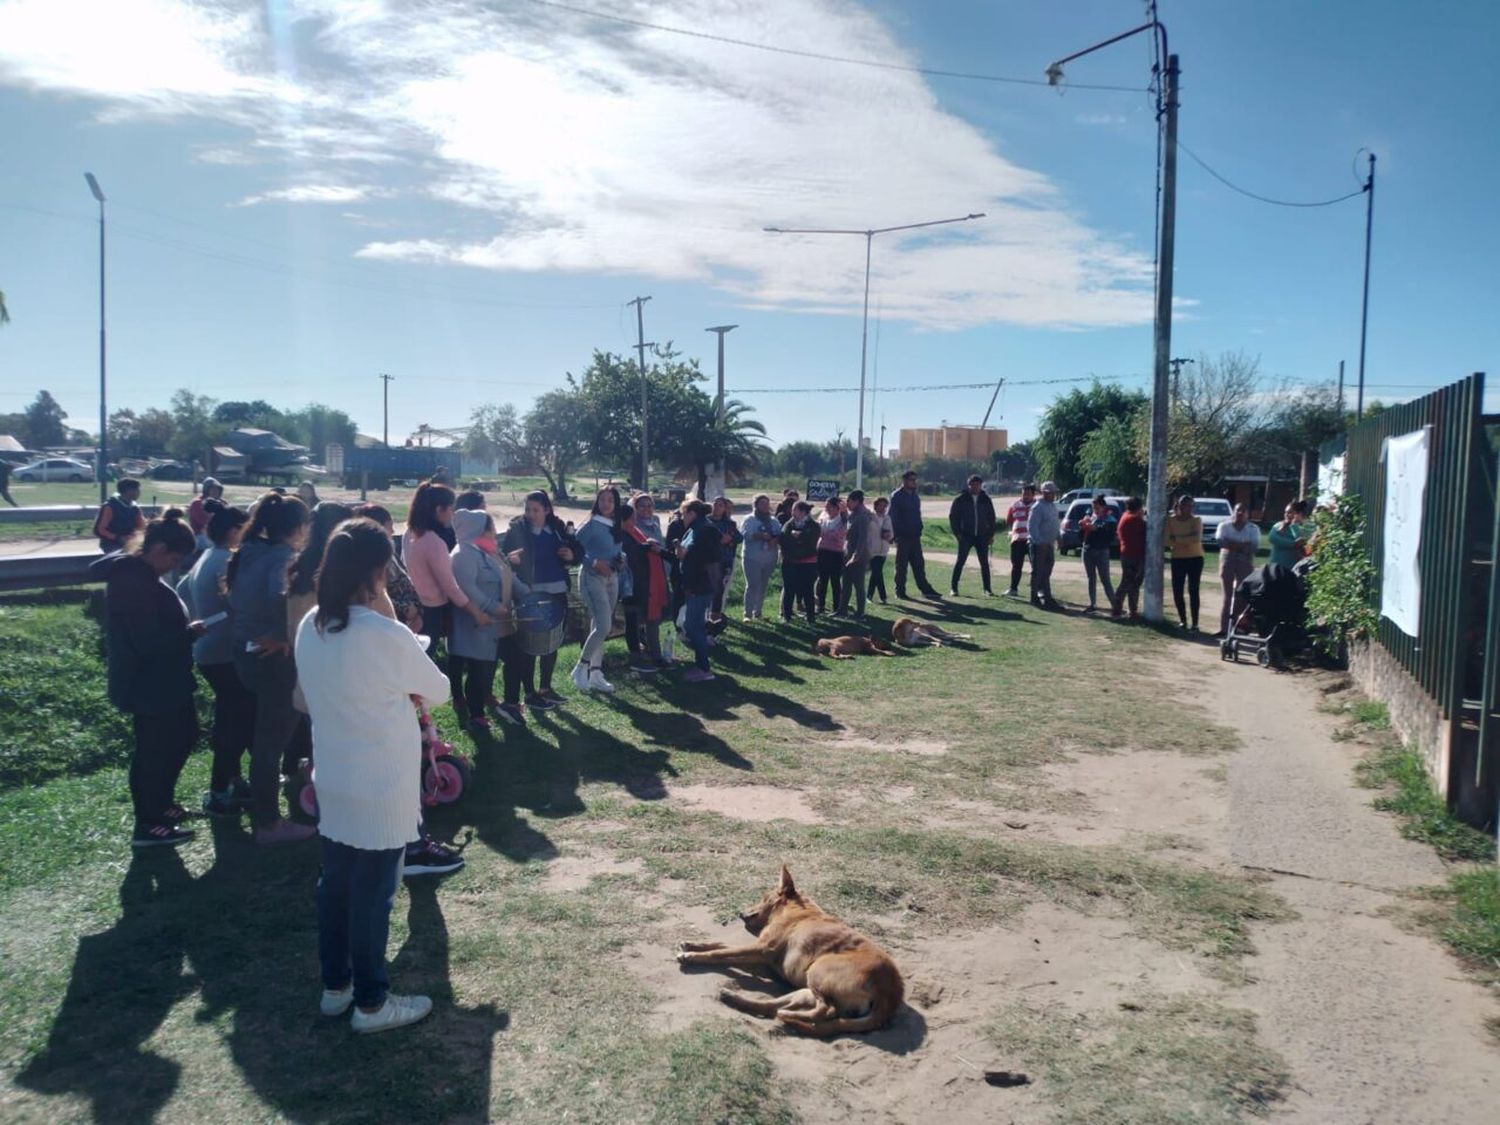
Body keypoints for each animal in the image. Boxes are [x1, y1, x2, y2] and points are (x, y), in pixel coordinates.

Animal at [678, 870, 900, 1044]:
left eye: (763, 896)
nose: (740, 913)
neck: (797, 909)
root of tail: (891, 993)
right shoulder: (763, 959)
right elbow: (721, 946)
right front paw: (692, 944)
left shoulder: (760, 949)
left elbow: (720, 952)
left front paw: (690, 956)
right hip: (805, 990)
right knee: (773, 1006)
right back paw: (733, 998)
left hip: (818, 970)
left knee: (826, 1010)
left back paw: (788, 1015)